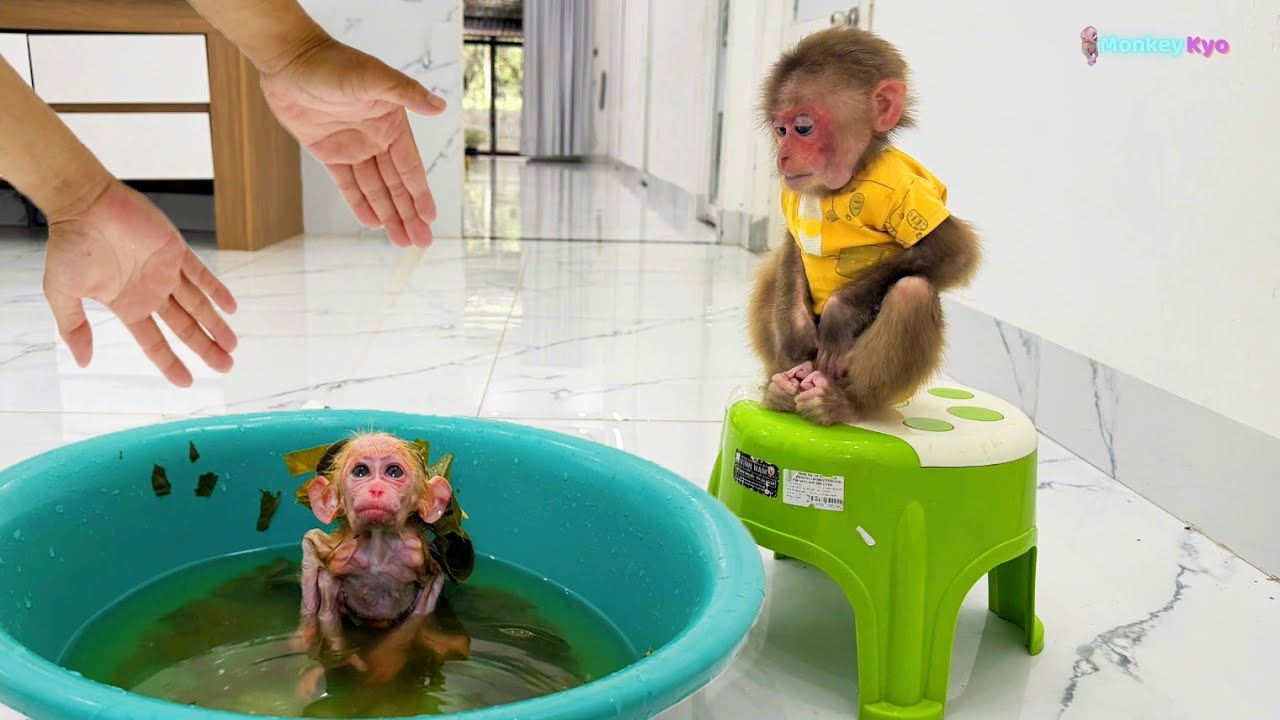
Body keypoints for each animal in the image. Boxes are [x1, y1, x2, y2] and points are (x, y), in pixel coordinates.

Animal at [292, 431, 459, 683]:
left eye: (394, 472)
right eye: (361, 472)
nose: (376, 489)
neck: (378, 547)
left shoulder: (418, 557)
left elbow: (421, 609)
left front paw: (386, 658)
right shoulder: (340, 557)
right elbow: (326, 611)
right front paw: (346, 658)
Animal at [748, 26, 981, 425]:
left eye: (803, 128)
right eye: (780, 129)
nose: (783, 157)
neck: (845, 182)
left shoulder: (904, 184)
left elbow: (956, 251)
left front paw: (839, 315)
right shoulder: (790, 191)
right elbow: (792, 245)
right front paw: (798, 332)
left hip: (857, 378)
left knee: (913, 293)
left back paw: (844, 403)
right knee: (772, 270)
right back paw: (778, 384)